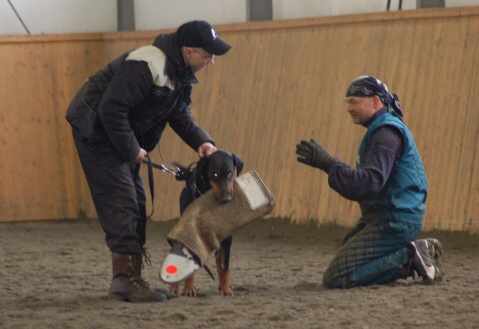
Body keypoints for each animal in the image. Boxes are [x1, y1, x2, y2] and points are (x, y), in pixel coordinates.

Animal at [171, 147, 244, 296]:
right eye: (215, 174)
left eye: (230, 173)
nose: (227, 198)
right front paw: (188, 289)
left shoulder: (227, 237)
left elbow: (224, 265)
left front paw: (225, 288)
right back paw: (174, 287)